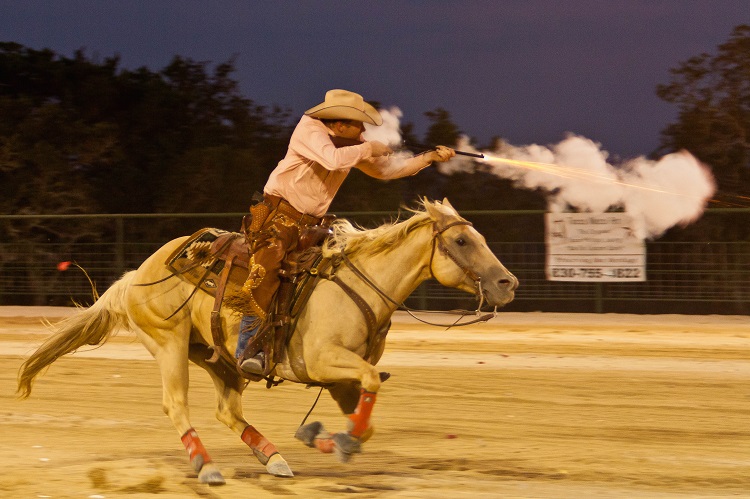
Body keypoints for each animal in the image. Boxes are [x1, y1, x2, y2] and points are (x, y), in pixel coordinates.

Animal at [16, 198, 516, 484]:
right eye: (461, 241)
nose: (507, 283)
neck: (359, 284)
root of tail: (136, 275)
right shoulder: (324, 361)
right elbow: (372, 385)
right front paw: (335, 442)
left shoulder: (341, 379)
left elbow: (366, 417)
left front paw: (326, 439)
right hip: (169, 344)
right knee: (176, 405)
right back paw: (208, 467)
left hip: (218, 358)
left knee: (227, 410)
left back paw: (273, 457)